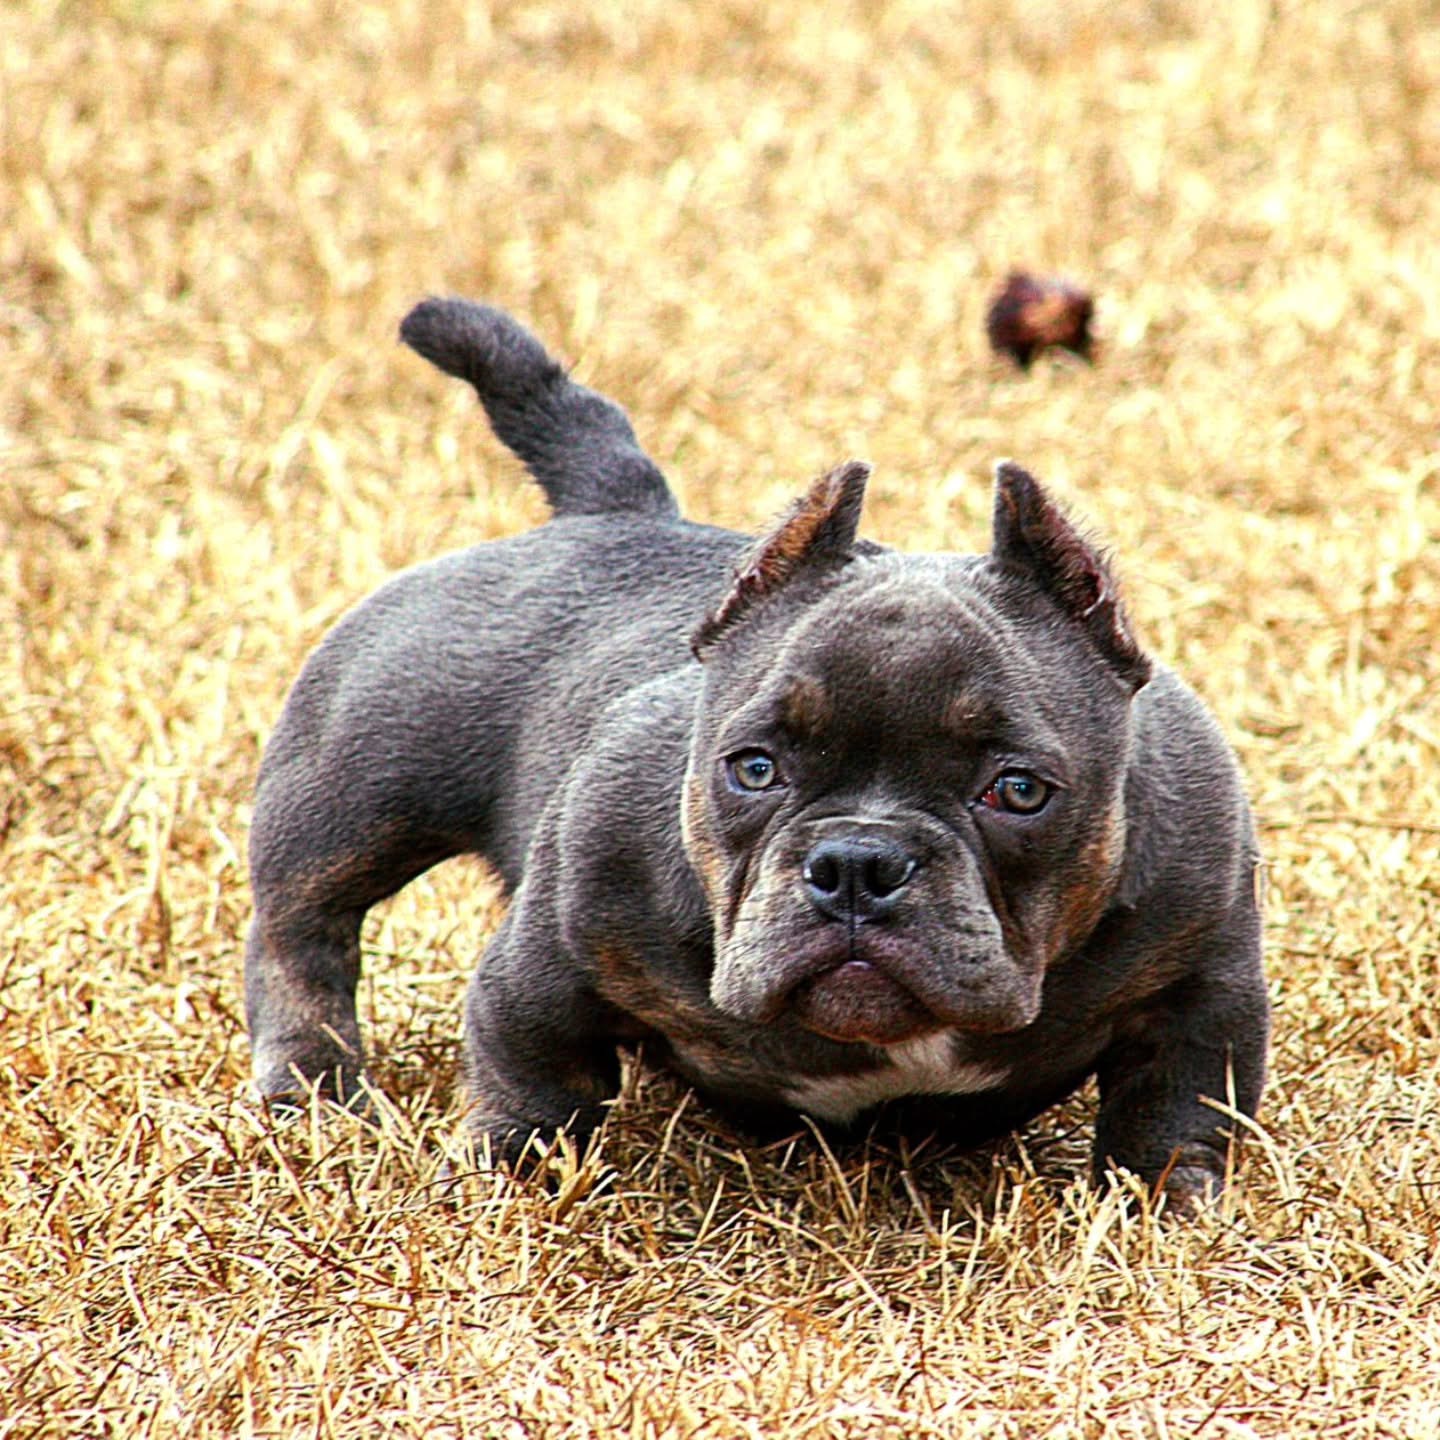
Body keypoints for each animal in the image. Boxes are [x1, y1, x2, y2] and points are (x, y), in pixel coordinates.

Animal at [245, 297, 1269, 1209]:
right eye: (755, 768)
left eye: (1018, 791)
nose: (857, 864)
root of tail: (620, 514)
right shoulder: (553, 957)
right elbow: (532, 1070)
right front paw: (512, 1177)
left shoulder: (1200, 973)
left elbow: (1178, 1104)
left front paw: (1165, 1204)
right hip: (357, 783)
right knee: (302, 925)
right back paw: (313, 1081)